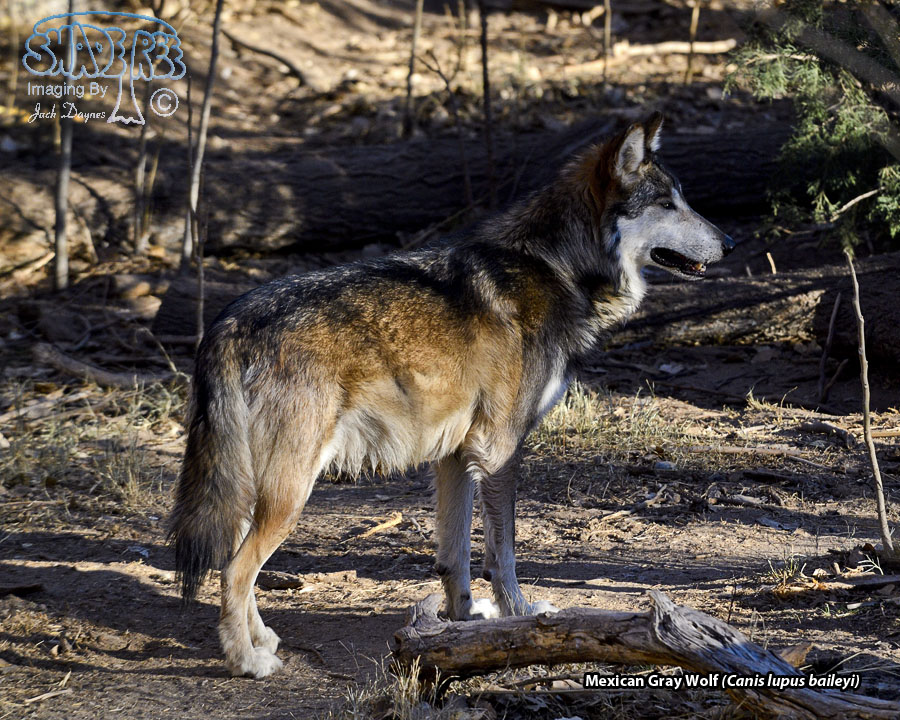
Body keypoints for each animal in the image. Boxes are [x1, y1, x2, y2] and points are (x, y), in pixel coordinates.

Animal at [168, 113, 735, 678]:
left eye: (683, 199)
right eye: (668, 204)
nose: (729, 242)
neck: (555, 267)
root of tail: (227, 323)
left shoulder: (457, 454)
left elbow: (454, 555)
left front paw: (462, 624)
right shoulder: (500, 449)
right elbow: (502, 555)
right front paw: (523, 617)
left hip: (259, 489)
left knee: (235, 563)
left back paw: (261, 639)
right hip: (291, 492)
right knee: (234, 570)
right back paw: (246, 660)